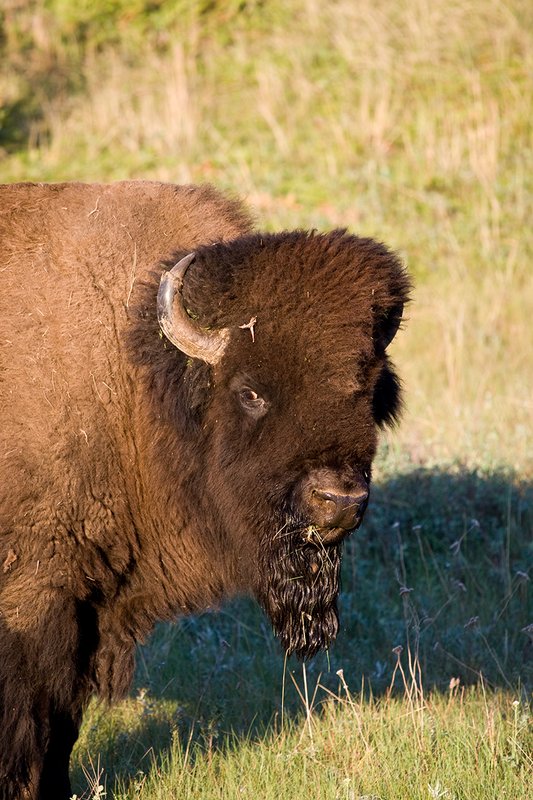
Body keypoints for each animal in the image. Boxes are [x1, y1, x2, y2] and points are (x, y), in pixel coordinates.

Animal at [0, 181, 410, 799]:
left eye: (369, 390)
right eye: (250, 392)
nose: (338, 502)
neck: (136, 373)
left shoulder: (86, 609)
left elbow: (60, 725)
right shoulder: (35, 597)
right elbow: (27, 724)